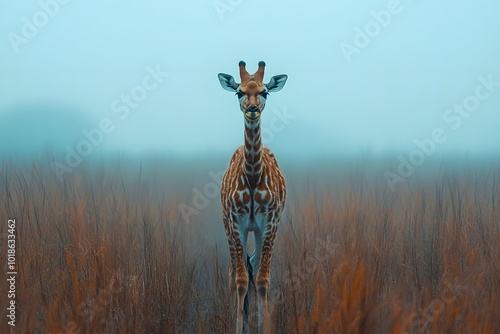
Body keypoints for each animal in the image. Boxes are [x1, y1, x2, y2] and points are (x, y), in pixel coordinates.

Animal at [218, 61, 288, 332]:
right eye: (238, 92)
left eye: (264, 91)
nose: (252, 110)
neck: (252, 176)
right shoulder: (235, 220)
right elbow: (240, 280)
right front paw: (239, 327)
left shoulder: (269, 221)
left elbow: (262, 279)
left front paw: (263, 326)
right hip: (231, 226)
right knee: (234, 273)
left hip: (257, 230)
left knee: (254, 265)